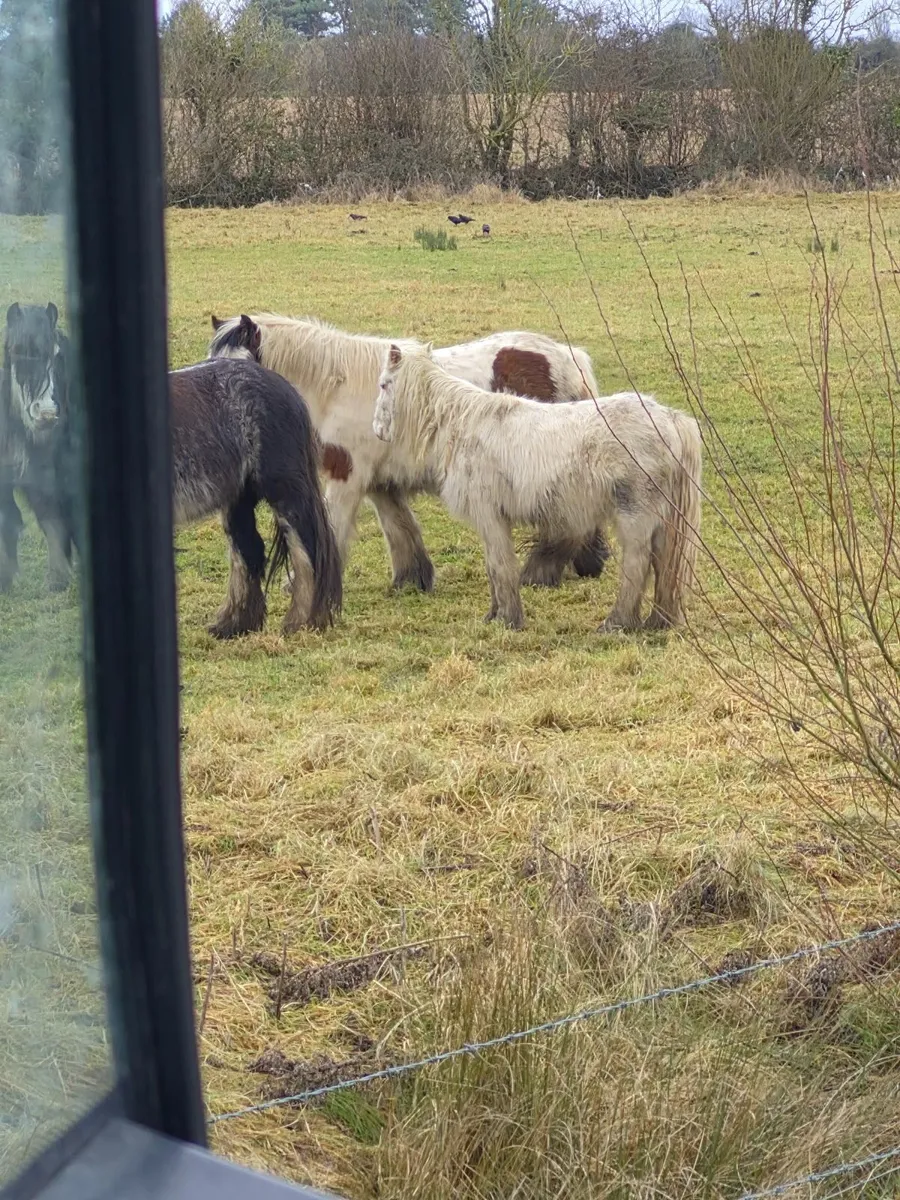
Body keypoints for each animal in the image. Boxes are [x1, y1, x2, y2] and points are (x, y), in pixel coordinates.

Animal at [0, 302, 77, 593]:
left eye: (56, 354)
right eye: (16, 351)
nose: (46, 413)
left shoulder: (43, 470)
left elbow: (50, 517)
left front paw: (58, 578)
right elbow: (8, 521)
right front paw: (7, 578)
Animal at [169, 359, 342, 637]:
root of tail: (286, 388)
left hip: (285, 492)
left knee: (308, 550)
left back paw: (301, 623)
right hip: (238, 500)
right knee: (248, 552)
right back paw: (234, 624)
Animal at [208, 313, 610, 592]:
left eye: (239, 366)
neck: (336, 386)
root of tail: (566, 356)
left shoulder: (346, 475)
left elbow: (334, 527)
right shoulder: (379, 483)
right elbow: (399, 527)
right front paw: (412, 578)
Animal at [373, 344, 702, 633]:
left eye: (384, 384)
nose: (377, 430)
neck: (464, 423)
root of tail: (670, 419)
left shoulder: (490, 517)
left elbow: (500, 566)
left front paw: (508, 619)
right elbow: (494, 567)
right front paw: (494, 616)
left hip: (635, 517)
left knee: (638, 563)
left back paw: (616, 623)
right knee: (664, 564)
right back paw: (658, 621)